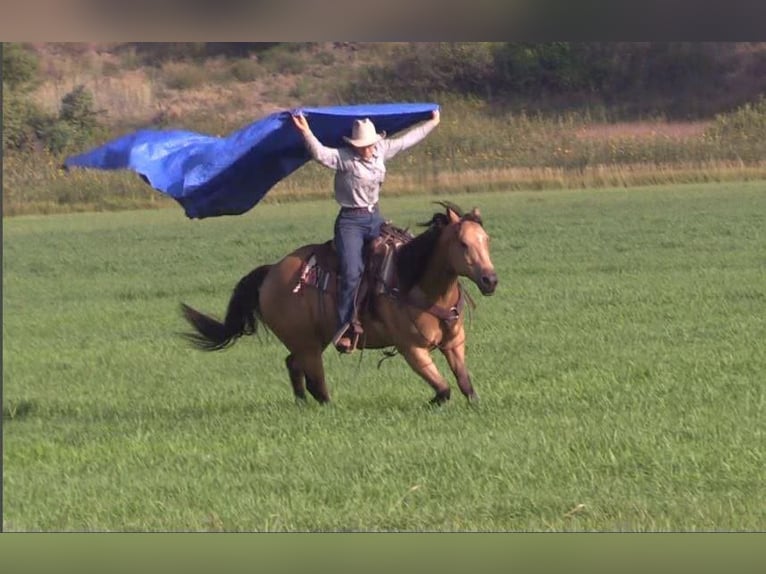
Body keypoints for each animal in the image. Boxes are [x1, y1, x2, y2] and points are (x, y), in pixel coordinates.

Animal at [183, 202, 500, 404]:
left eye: (486, 240)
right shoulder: (412, 349)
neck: (415, 282)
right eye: (463, 244)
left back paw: (302, 403)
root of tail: (270, 272)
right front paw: (432, 402)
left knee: (293, 365)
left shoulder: (454, 344)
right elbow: (444, 389)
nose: (490, 280)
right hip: (308, 345)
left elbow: (466, 386)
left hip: (311, 340)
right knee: (315, 380)